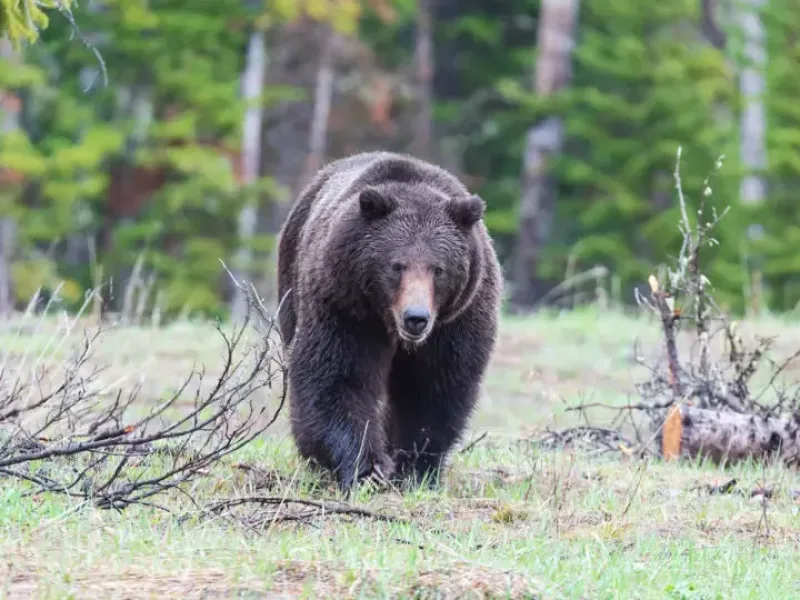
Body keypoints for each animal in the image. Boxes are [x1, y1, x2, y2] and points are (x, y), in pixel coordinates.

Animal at [276, 151, 503, 490]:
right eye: (397, 266)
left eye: (438, 269)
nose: (416, 318)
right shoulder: (345, 308)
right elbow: (338, 379)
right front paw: (368, 468)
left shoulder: (454, 323)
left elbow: (433, 390)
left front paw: (414, 469)